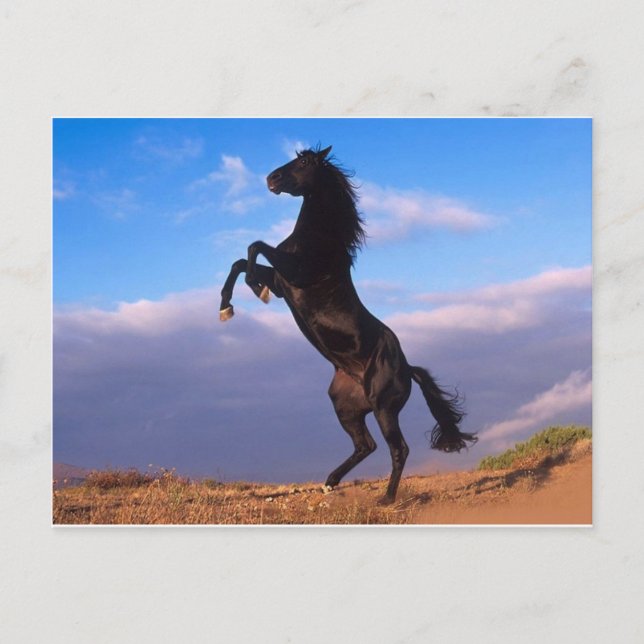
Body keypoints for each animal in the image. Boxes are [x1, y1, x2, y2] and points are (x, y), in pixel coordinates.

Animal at [219, 145, 477, 504]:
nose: (271, 179)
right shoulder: (285, 283)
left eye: (303, 162)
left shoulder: (295, 273)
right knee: (365, 445)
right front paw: (227, 306)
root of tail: (408, 368)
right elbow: (240, 262)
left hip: (383, 408)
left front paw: (256, 290)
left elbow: (254, 248)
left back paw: (386, 499)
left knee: (398, 449)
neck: (320, 238)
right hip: (346, 407)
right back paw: (330, 482)